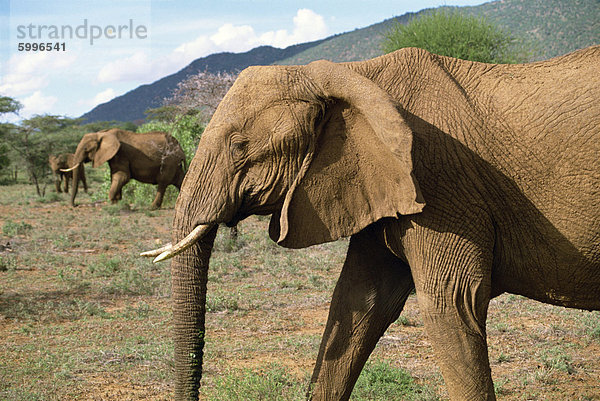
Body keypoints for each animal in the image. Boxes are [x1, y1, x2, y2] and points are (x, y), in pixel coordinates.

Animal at [143, 46, 596, 400]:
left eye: (239, 147)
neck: (353, 74)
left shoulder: (441, 186)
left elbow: (452, 304)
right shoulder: (377, 182)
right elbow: (358, 301)